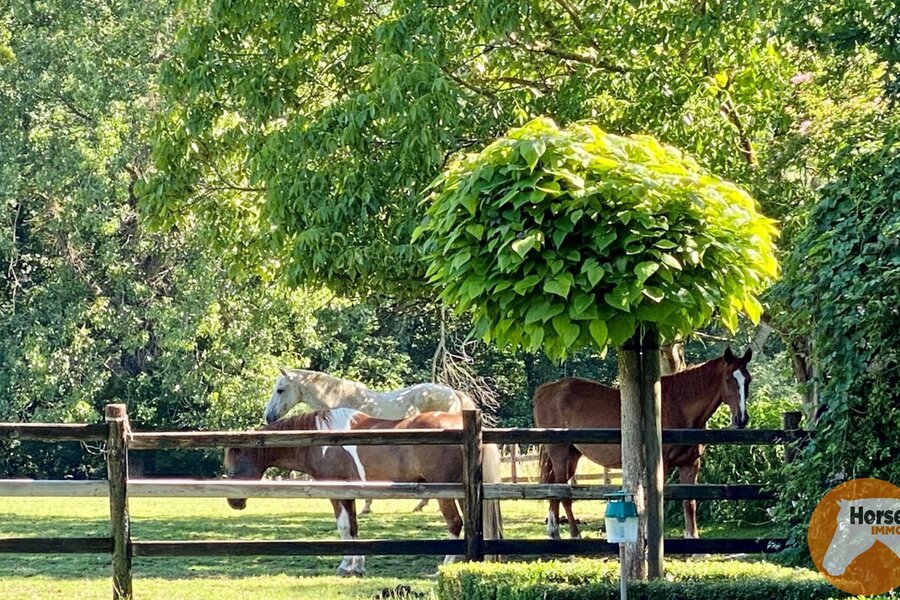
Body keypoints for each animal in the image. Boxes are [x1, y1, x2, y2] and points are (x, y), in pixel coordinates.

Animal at [224, 408, 503, 576]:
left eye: (237, 462)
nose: (233, 501)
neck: (322, 441)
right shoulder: (351, 493)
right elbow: (354, 528)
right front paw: (356, 566)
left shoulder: (337, 492)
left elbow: (344, 528)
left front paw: (345, 566)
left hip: (444, 491)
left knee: (455, 524)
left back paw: (442, 569)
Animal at [534, 347, 753, 540]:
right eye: (728, 379)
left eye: (748, 380)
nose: (741, 419)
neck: (678, 406)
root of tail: (545, 390)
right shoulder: (660, 464)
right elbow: (655, 501)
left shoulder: (690, 464)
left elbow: (689, 502)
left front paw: (692, 537)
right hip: (559, 454)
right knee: (562, 493)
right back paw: (574, 534)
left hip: (572, 455)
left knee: (554, 490)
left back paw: (553, 531)